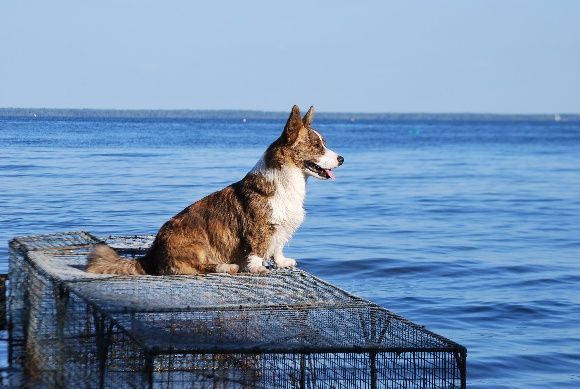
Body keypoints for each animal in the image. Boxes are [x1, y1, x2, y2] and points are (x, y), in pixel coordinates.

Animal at [86, 105, 344, 276]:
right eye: (316, 145)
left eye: (323, 143)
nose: (341, 159)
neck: (289, 180)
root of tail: (150, 257)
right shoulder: (259, 229)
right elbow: (257, 250)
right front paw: (258, 268)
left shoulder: (281, 227)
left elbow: (277, 247)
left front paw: (281, 262)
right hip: (197, 244)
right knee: (198, 268)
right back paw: (227, 266)